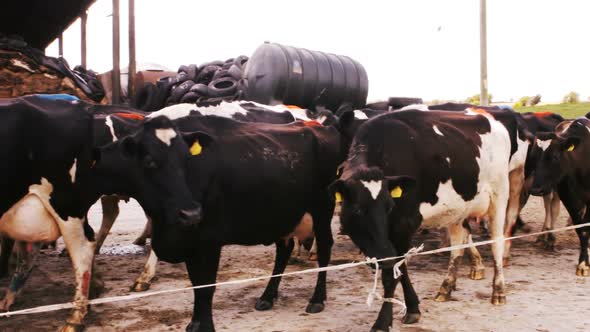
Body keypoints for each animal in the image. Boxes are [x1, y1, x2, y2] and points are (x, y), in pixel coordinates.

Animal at [332, 107, 528, 330]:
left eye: (389, 207)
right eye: (357, 211)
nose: (384, 255)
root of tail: (488, 117)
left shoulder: (403, 224)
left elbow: (393, 274)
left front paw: (383, 320)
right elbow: (400, 268)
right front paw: (412, 307)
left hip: (500, 194)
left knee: (497, 242)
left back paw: (498, 291)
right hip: (458, 208)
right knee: (458, 244)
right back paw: (446, 287)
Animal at [532, 118, 590, 276]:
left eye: (555, 157)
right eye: (534, 157)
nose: (536, 189)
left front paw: (584, 263)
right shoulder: (569, 198)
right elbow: (581, 229)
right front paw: (583, 262)